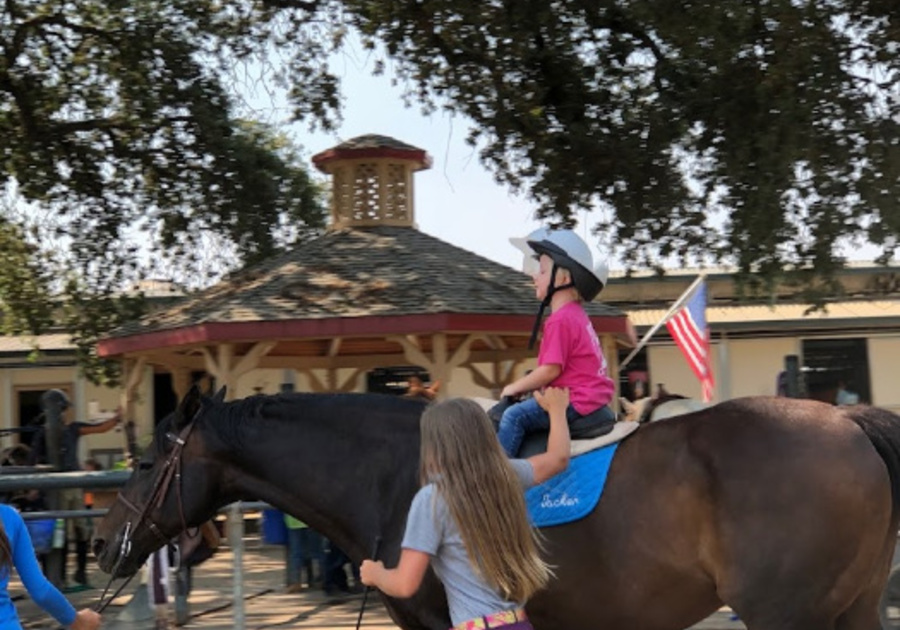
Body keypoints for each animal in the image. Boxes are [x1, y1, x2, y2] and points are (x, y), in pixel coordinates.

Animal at [93, 390, 900, 630]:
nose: (104, 544)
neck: (393, 473)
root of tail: (847, 419)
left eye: (146, 463)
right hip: (853, 607)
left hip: (787, 614)